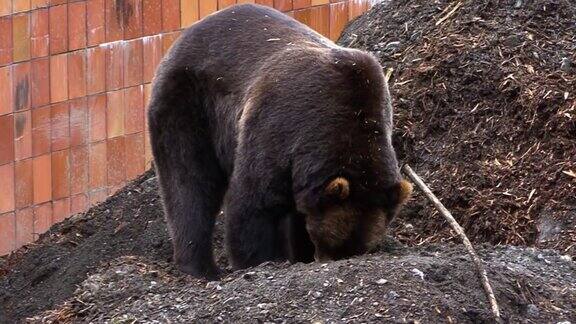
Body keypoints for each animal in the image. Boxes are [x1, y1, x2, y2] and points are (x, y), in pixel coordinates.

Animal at [146, 2, 412, 278]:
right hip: (189, 103)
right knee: (189, 180)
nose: (324, 259)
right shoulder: (278, 128)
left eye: (358, 249)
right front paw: (262, 260)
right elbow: (253, 203)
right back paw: (200, 266)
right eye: (331, 240)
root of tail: (183, 36)